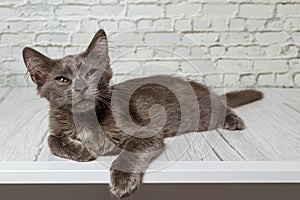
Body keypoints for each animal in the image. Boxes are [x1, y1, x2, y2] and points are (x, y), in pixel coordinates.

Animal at [22, 29, 262, 198]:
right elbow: (52, 141)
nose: (81, 87)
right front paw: (82, 150)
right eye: (62, 79)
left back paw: (233, 119)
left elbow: (129, 153)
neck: (86, 117)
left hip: (202, 113)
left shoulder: (146, 133)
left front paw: (122, 180)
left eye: (91, 73)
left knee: (222, 106)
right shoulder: (56, 127)